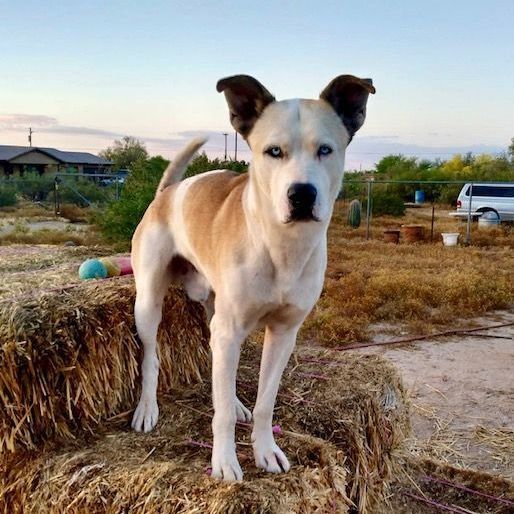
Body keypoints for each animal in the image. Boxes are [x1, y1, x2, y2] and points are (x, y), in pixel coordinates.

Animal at [130, 73, 374, 480]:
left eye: (325, 149)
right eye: (273, 151)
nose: (302, 194)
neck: (281, 248)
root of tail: (169, 191)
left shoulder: (283, 334)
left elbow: (265, 401)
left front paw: (265, 449)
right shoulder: (230, 330)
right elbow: (221, 415)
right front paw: (225, 461)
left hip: (215, 311)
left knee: (218, 366)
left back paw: (235, 402)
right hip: (148, 302)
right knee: (151, 357)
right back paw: (147, 407)